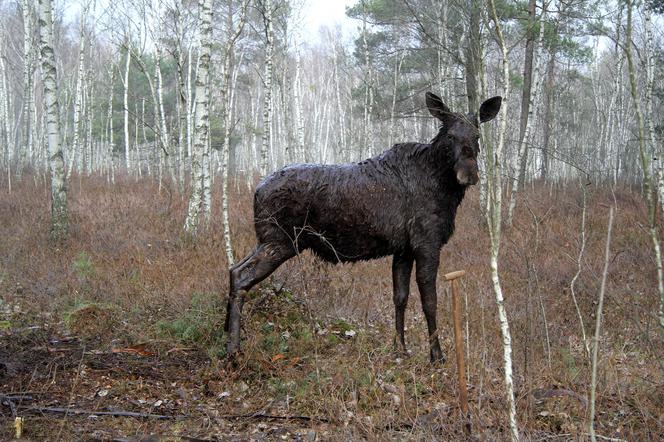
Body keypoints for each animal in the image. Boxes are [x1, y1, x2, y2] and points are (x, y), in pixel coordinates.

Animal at [223, 92, 498, 362]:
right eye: (450, 135)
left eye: (477, 135)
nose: (469, 174)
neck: (444, 189)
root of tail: (256, 191)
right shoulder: (426, 242)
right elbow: (429, 300)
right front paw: (436, 356)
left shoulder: (403, 249)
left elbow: (400, 297)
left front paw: (400, 350)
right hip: (281, 241)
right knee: (242, 276)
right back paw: (234, 350)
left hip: (267, 239)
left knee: (233, 269)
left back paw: (225, 334)